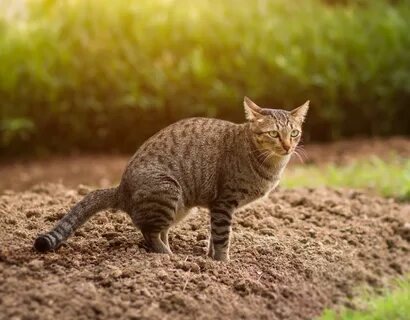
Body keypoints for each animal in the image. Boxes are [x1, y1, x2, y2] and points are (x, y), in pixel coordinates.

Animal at [34, 97, 308, 260]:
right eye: (273, 134)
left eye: (294, 133)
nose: (288, 146)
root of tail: (121, 189)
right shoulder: (223, 203)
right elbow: (222, 236)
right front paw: (222, 263)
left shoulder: (217, 207)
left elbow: (213, 236)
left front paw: (209, 258)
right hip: (168, 190)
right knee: (150, 233)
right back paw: (169, 257)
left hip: (179, 206)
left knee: (157, 230)